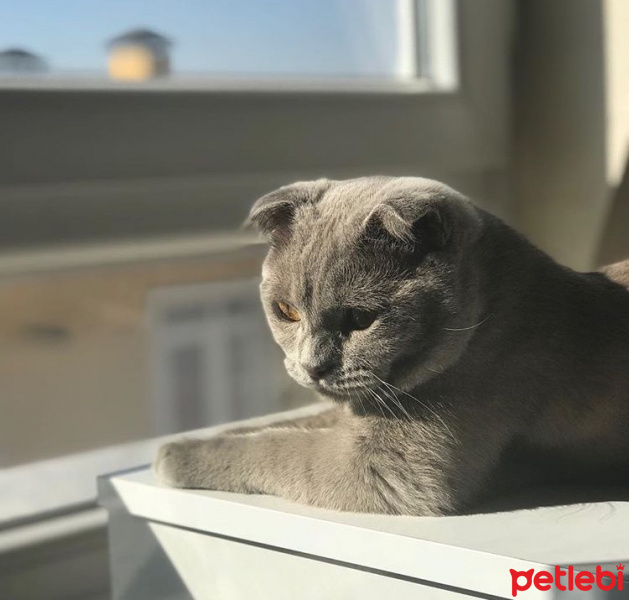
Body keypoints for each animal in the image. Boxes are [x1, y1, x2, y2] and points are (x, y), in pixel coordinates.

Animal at [155, 177, 628, 516]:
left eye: (361, 320)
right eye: (286, 311)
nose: (312, 366)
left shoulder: (389, 469)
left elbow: (279, 448)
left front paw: (174, 454)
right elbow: (293, 423)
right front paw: (206, 434)